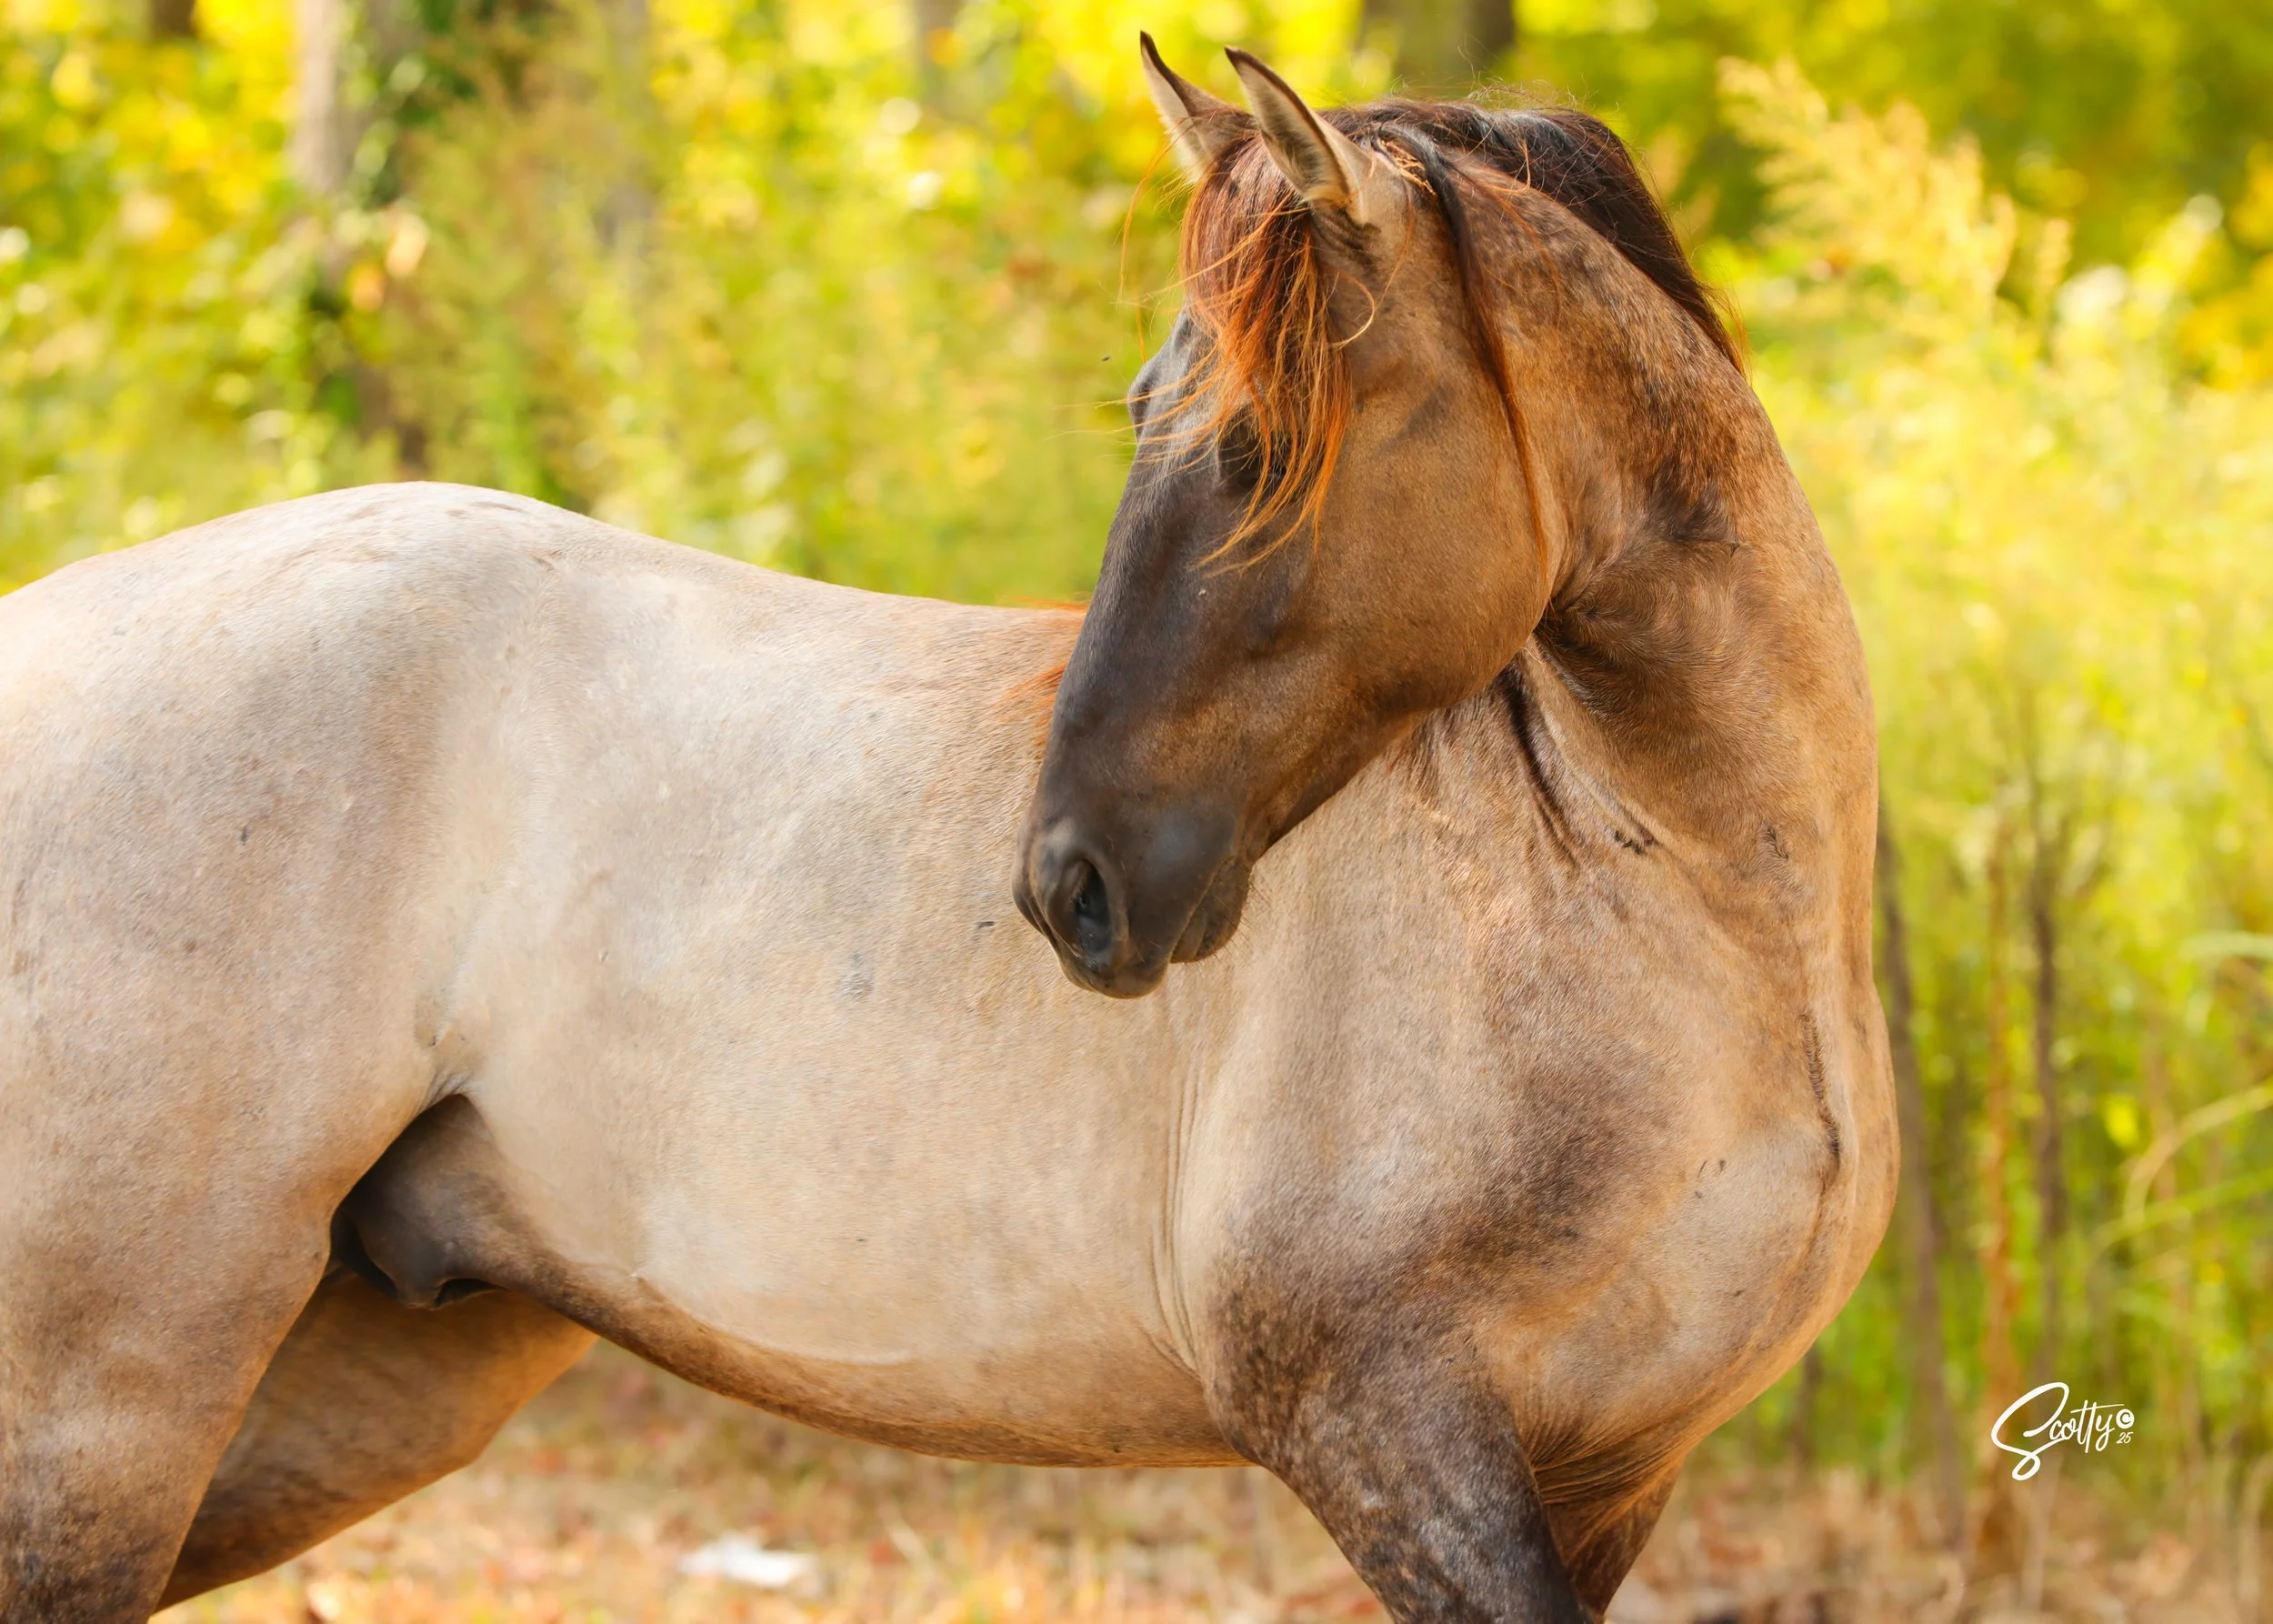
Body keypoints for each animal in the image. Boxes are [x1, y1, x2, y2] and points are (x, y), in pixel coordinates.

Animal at [0, 40, 1894, 1623]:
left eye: (1260, 446)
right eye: (1154, 419)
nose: (1077, 885)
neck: (1691, 902)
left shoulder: (1609, 1476)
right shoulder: (1389, 1425)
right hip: (113, 1411)